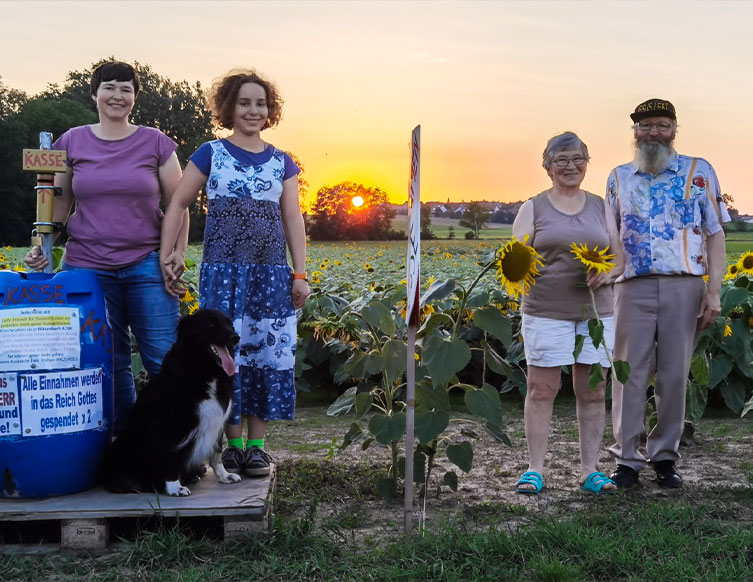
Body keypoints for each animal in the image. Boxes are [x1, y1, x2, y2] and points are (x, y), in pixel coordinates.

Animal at [100, 310, 241, 498]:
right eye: (211, 324)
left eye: (230, 324)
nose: (236, 337)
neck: (204, 370)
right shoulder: (169, 424)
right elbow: (169, 453)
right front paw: (174, 486)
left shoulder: (217, 420)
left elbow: (216, 451)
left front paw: (224, 475)